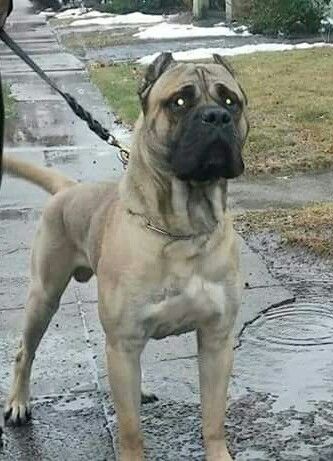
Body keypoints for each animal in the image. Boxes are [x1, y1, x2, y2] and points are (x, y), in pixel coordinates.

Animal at [1, 54, 246, 460]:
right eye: (179, 102)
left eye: (231, 101)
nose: (217, 117)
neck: (181, 229)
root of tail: (68, 189)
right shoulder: (123, 341)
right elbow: (130, 429)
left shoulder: (216, 340)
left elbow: (213, 418)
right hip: (43, 297)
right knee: (25, 352)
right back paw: (18, 403)